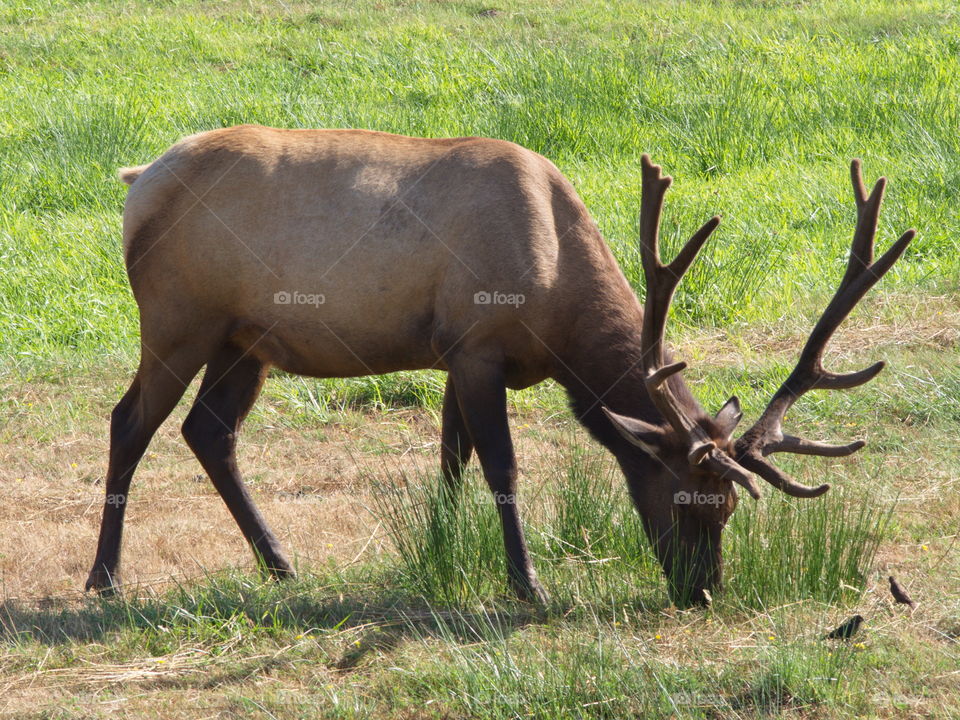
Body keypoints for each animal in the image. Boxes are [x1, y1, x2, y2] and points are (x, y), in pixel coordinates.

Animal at [90, 125, 916, 608]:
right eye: (688, 501)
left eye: (732, 509)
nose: (703, 592)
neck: (558, 305)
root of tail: (137, 181)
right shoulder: (478, 344)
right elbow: (501, 466)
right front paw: (527, 584)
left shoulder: (454, 354)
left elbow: (451, 459)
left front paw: (442, 549)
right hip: (177, 320)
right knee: (129, 421)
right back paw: (105, 578)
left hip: (244, 340)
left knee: (208, 432)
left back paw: (280, 562)